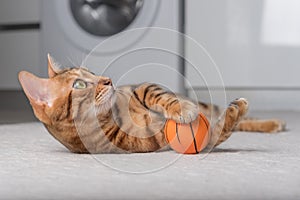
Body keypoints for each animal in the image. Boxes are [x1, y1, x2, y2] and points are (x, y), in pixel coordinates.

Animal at [18, 54, 286, 153]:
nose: (108, 80)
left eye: (91, 73)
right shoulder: (153, 140)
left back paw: (274, 122)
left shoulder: (141, 87)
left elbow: (157, 94)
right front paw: (232, 115)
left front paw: (181, 108)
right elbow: (216, 132)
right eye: (80, 85)